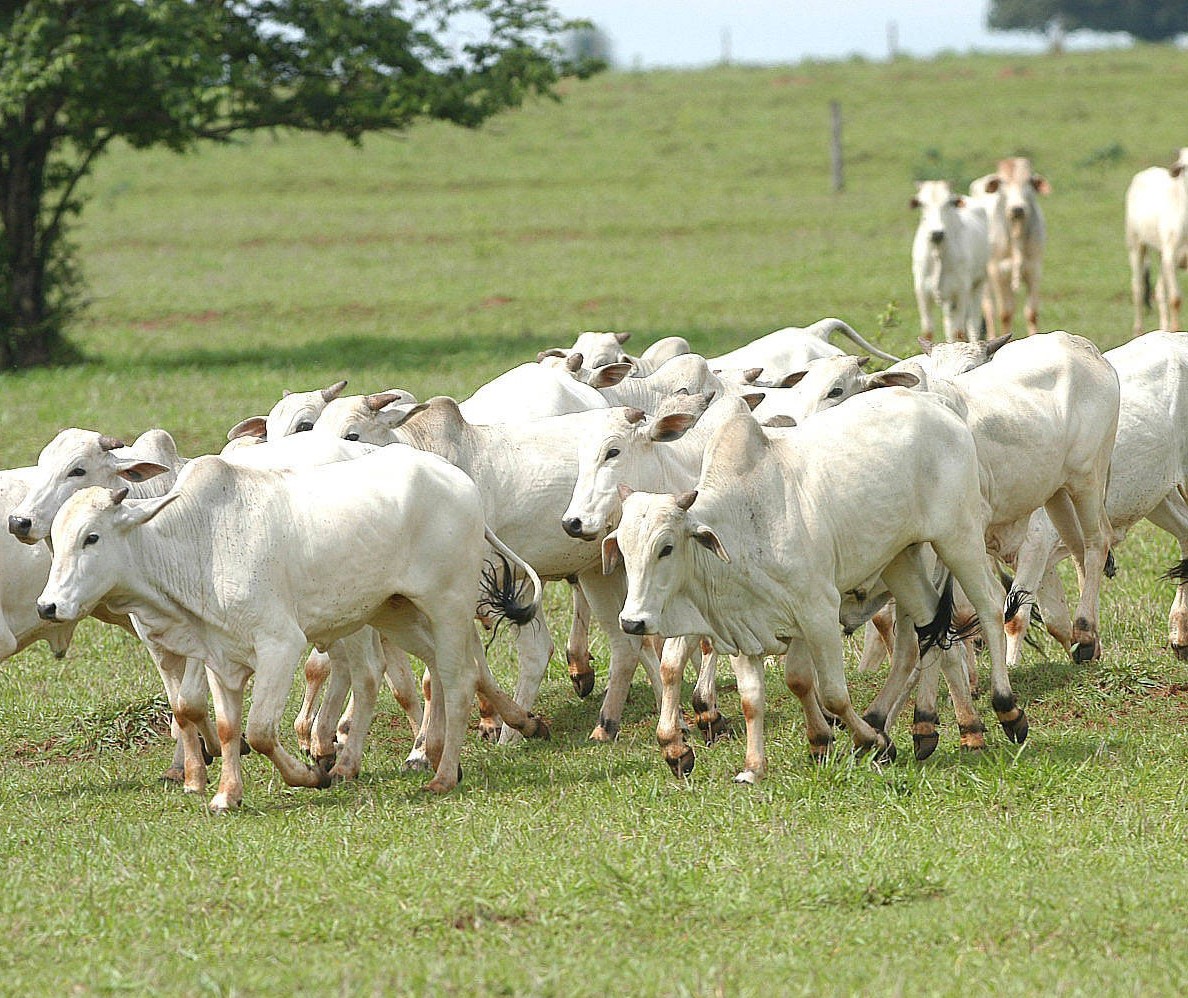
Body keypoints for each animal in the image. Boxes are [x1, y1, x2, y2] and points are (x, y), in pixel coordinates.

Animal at [37, 444, 546, 812]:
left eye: (91, 537)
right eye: (56, 542)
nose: (48, 605)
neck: (200, 544)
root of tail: (459, 480)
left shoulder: (280, 646)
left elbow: (260, 730)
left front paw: (310, 775)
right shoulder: (219, 657)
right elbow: (227, 728)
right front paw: (225, 795)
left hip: (447, 606)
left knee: (457, 680)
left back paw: (442, 774)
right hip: (394, 612)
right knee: (448, 671)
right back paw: (511, 726)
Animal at [603, 394, 1021, 784]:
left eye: (666, 547)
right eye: (622, 547)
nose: (632, 622)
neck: (744, 523)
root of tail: (935, 403)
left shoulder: (817, 612)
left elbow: (833, 693)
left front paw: (871, 742)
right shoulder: (746, 628)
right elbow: (756, 697)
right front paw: (755, 767)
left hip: (958, 537)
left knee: (987, 607)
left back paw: (1005, 711)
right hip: (902, 561)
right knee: (929, 632)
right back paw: (929, 728)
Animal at [907, 181, 993, 342]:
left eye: (949, 202)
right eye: (921, 203)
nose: (937, 233)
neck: (938, 251)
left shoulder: (961, 291)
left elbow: (959, 332)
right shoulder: (922, 292)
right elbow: (928, 332)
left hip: (978, 283)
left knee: (973, 323)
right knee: (948, 323)